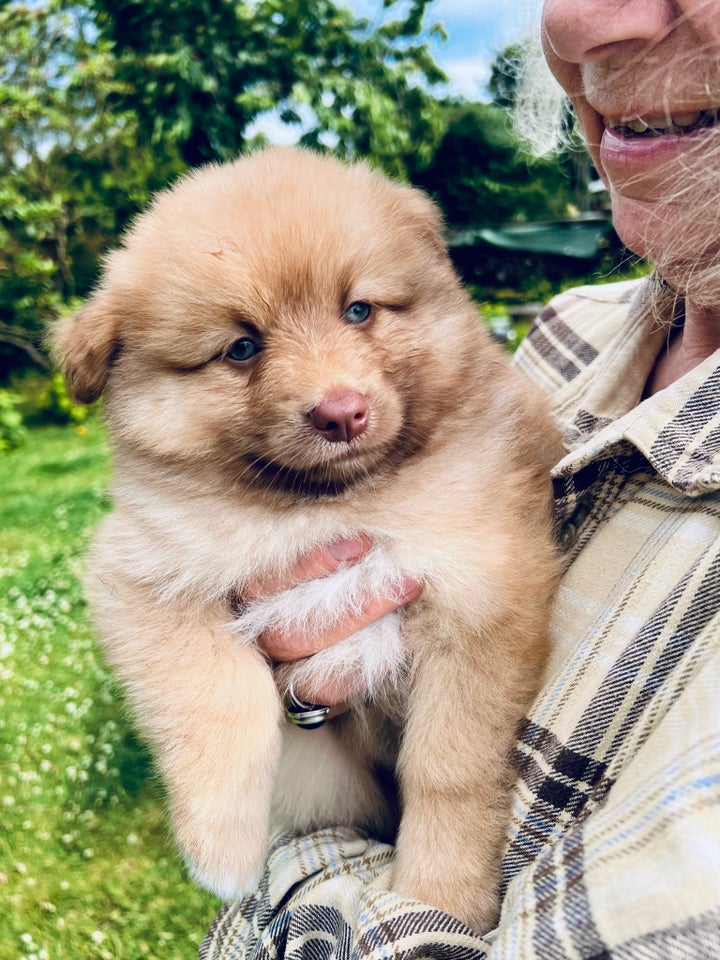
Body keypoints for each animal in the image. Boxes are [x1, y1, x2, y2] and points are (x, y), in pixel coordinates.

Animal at [53, 150, 564, 936]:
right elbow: (216, 705)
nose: (341, 413)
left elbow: (448, 768)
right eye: (241, 347)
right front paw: (220, 848)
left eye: (358, 309)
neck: (324, 507)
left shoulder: (484, 595)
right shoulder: (147, 576)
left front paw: (439, 893)